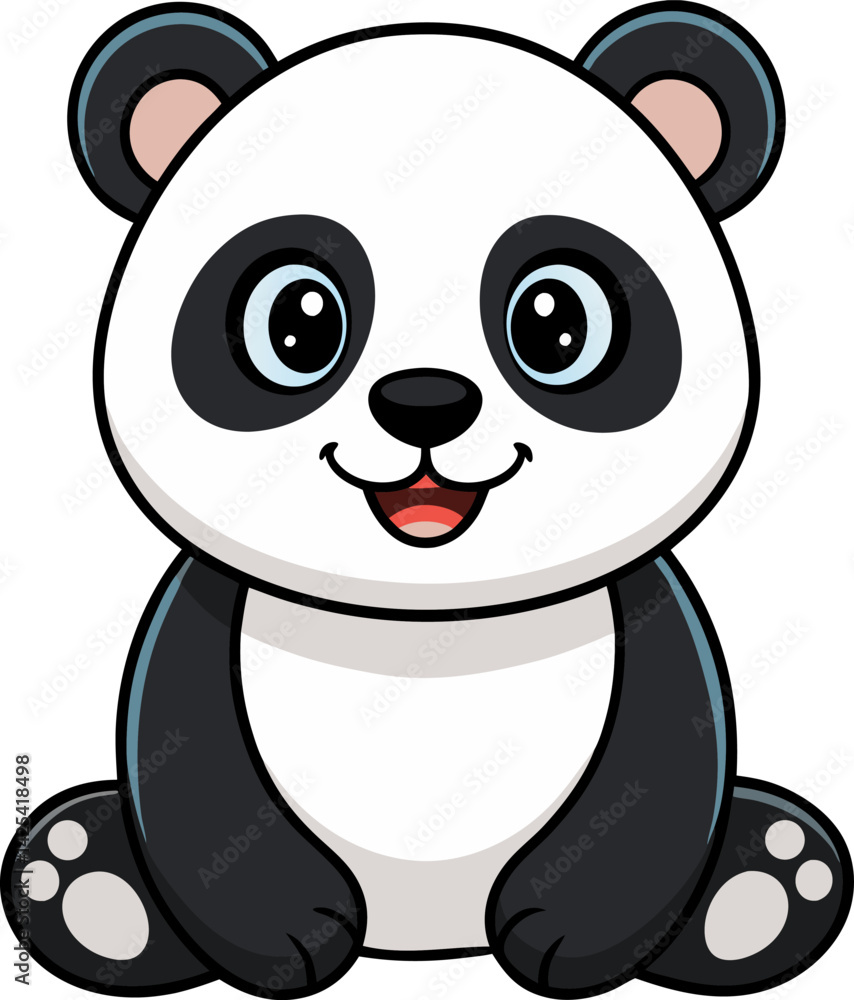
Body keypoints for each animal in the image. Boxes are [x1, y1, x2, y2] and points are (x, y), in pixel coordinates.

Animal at [4, 2, 851, 997]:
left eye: (556, 321)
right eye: (296, 322)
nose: (425, 403)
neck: (425, 622)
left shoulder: (640, 609)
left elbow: (666, 759)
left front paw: (564, 933)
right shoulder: (210, 608)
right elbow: (186, 755)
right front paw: (290, 931)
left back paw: (769, 882)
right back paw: (82, 882)